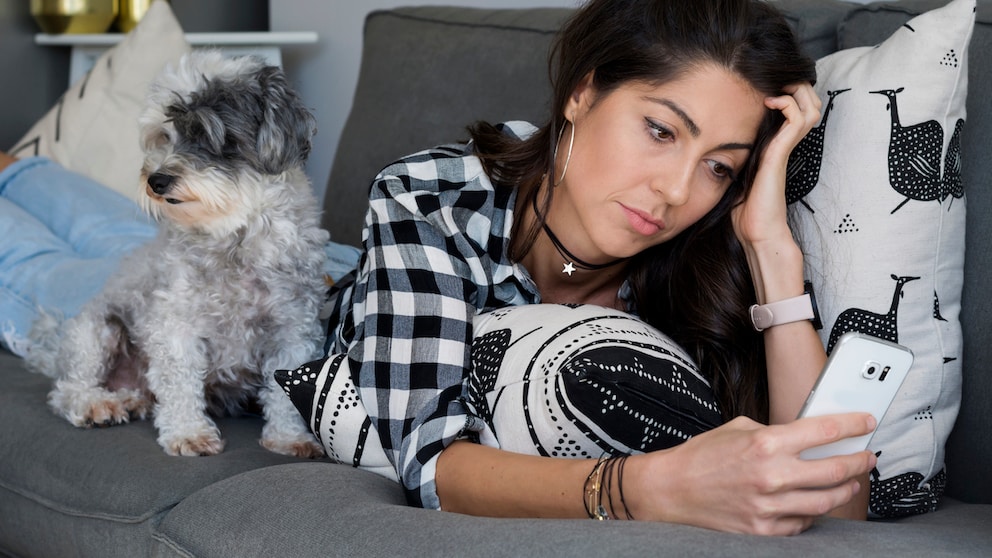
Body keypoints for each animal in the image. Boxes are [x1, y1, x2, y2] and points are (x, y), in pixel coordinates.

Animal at [25, 50, 330, 460]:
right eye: (164, 137)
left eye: (208, 135)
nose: (156, 180)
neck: (233, 236)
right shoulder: (174, 323)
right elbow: (180, 381)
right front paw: (188, 433)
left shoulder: (294, 326)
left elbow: (285, 390)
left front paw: (289, 439)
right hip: (97, 330)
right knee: (65, 391)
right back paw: (96, 403)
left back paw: (130, 399)